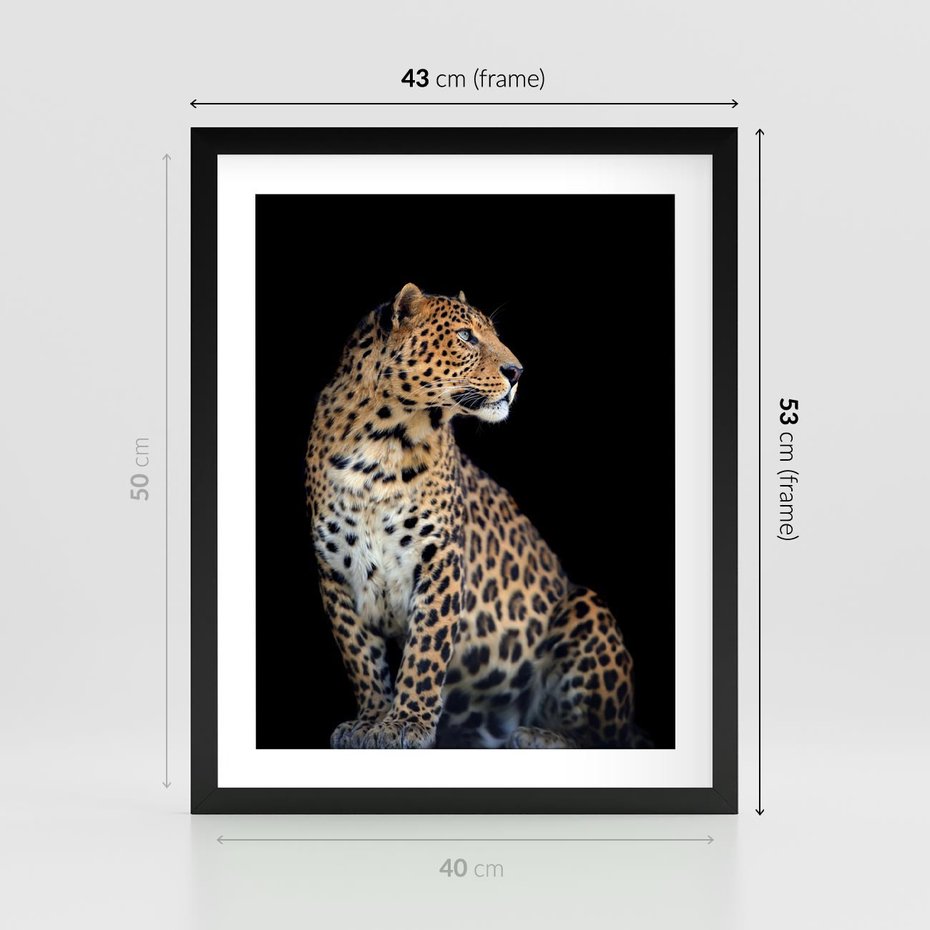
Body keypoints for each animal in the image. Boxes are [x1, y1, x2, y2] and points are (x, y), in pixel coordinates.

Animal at [305, 283, 636, 749]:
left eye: (493, 335)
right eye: (465, 336)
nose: (517, 372)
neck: (381, 442)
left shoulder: (440, 557)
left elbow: (425, 649)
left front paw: (406, 724)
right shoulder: (334, 569)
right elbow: (360, 656)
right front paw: (370, 720)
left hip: (586, 606)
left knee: (608, 735)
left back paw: (540, 735)